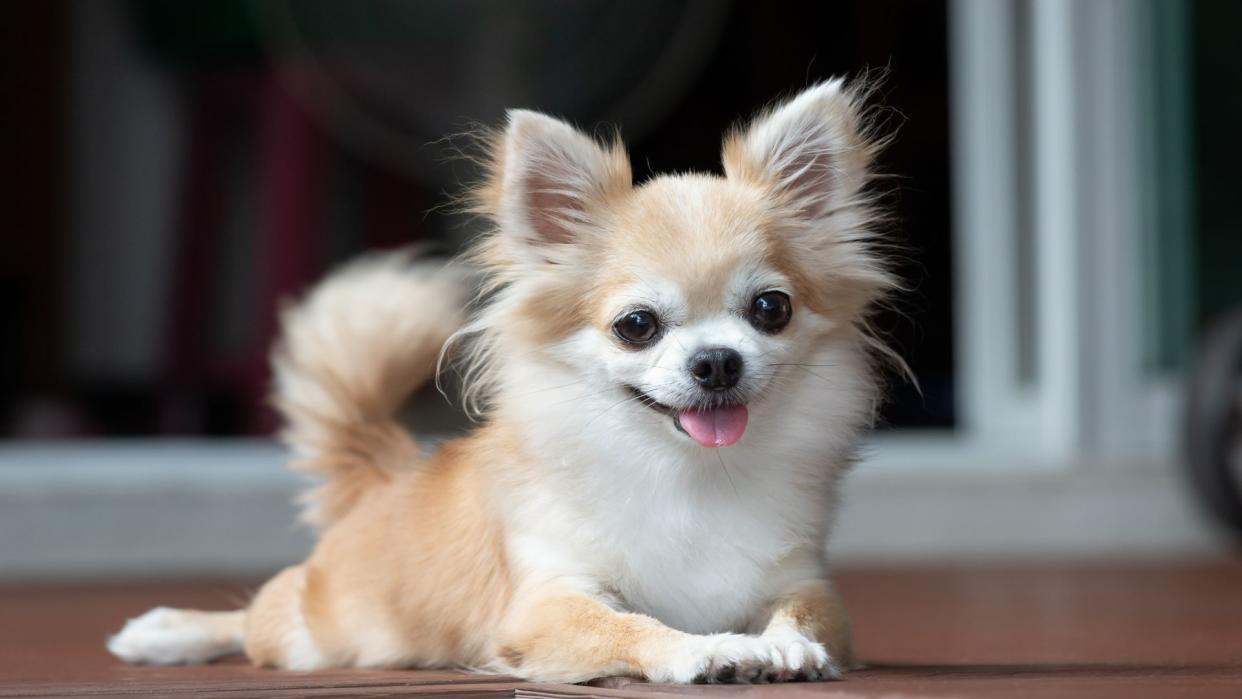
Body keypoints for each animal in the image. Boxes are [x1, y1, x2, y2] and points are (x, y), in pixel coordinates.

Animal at [109, 80, 894, 685]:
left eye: (771, 309)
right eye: (636, 325)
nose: (717, 361)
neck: (688, 472)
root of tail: (389, 473)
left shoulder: (805, 582)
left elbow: (801, 614)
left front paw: (784, 644)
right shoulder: (549, 601)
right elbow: (635, 625)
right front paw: (712, 649)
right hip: (312, 633)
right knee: (254, 617)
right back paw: (166, 631)